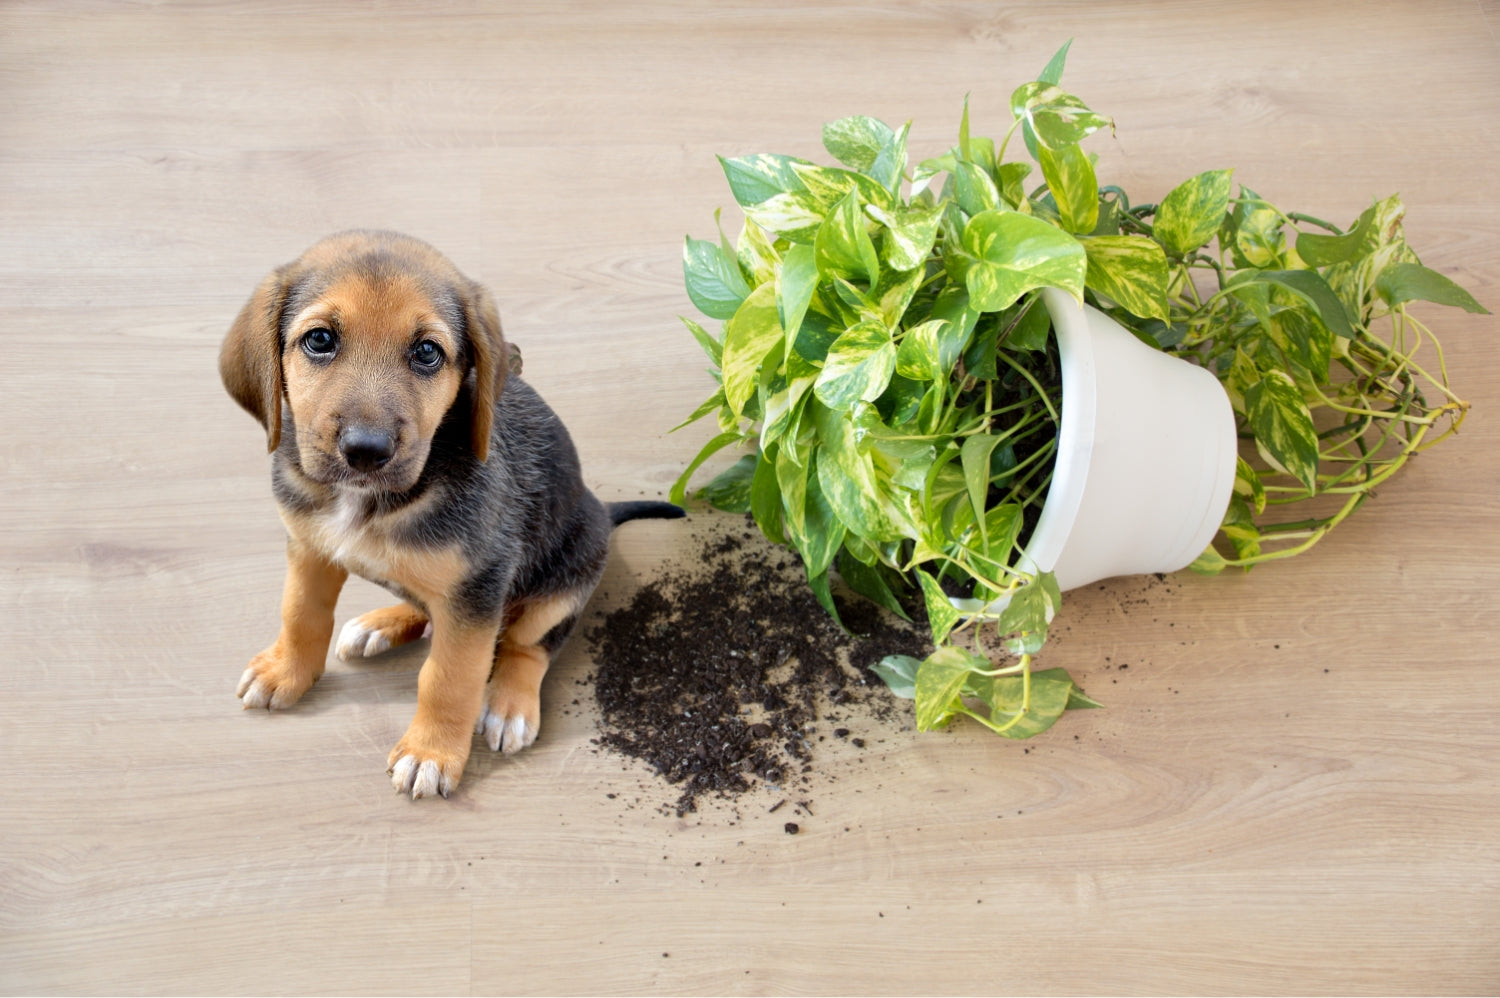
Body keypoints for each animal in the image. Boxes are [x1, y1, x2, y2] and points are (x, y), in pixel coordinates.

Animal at [220, 229, 681, 798]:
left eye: (427, 352)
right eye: (320, 340)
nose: (366, 451)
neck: (370, 502)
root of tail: (601, 509)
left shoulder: (477, 589)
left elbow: (448, 678)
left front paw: (431, 752)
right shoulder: (309, 549)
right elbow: (301, 614)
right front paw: (287, 671)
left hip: (567, 576)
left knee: (529, 645)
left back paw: (509, 703)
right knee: (423, 604)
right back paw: (381, 623)